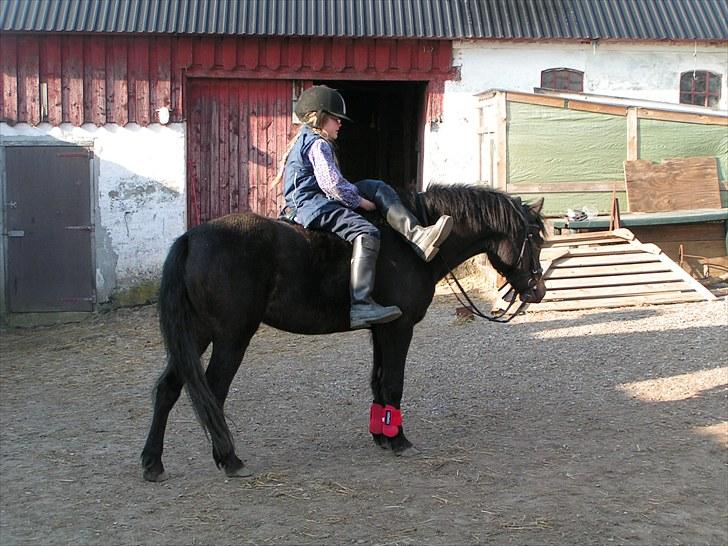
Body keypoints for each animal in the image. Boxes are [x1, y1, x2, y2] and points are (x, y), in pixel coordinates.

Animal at [141, 184, 546, 482]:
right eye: (535, 239)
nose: (538, 291)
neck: (411, 244)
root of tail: (191, 238)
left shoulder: (382, 330)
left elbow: (379, 382)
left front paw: (381, 435)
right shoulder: (399, 329)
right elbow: (394, 383)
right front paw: (399, 440)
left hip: (198, 333)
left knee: (168, 388)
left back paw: (152, 463)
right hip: (231, 337)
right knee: (212, 393)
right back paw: (229, 459)